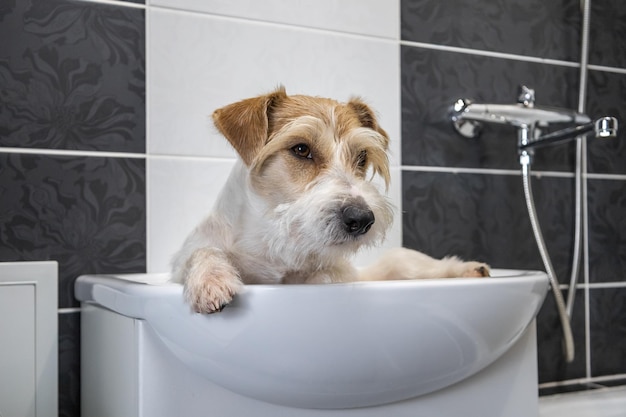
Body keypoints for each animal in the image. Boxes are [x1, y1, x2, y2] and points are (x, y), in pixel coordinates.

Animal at [171, 86, 488, 312]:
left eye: (362, 157)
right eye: (301, 149)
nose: (362, 219)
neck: (275, 242)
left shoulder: (338, 273)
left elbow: (327, 275)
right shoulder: (189, 256)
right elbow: (203, 252)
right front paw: (211, 280)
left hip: (399, 263)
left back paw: (466, 269)